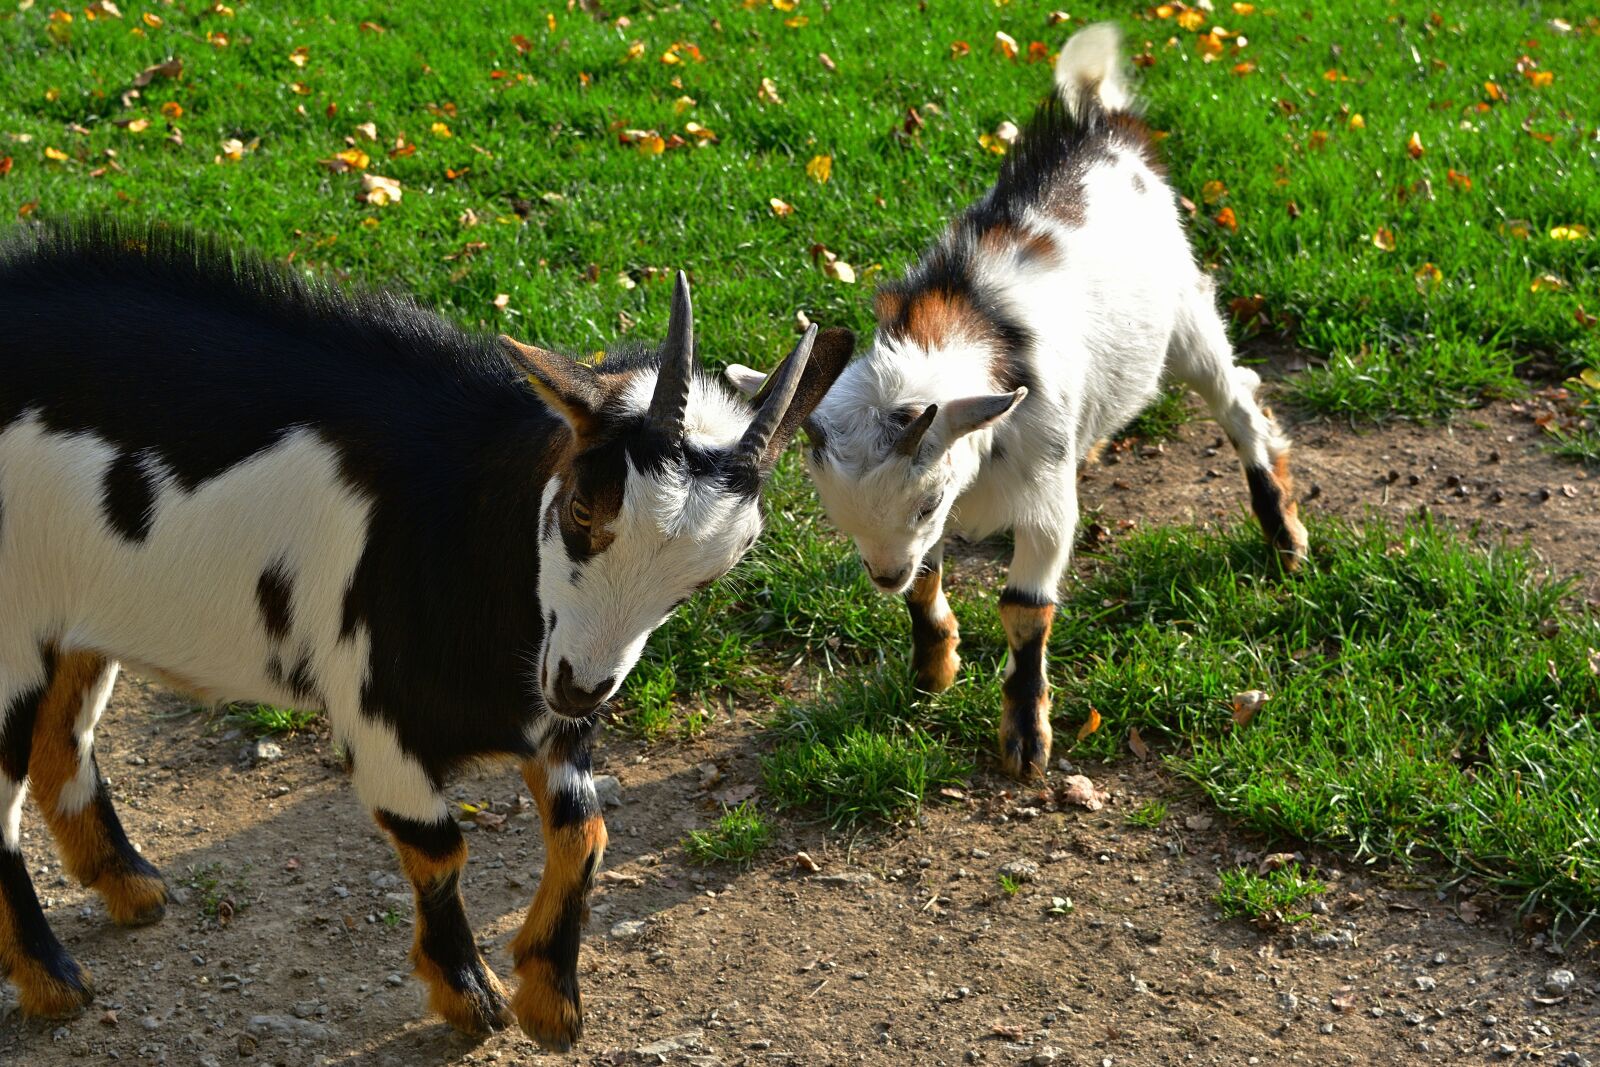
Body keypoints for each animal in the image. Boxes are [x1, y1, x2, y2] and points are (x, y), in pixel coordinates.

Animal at [0, 224, 852, 1048]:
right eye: (584, 506)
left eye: (712, 572)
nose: (582, 684)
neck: (461, 516)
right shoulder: (381, 716)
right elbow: (440, 847)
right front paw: (470, 997)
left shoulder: (547, 717)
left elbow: (586, 831)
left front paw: (550, 1000)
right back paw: (53, 983)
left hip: (72, 622)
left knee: (61, 741)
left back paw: (130, 887)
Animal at [728, 24, 1307, 780]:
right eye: (835, 511)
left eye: (925, 502)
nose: (881, 576)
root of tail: (1098, 124)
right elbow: (927, 581)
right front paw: (933, 668)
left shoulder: (1043, 508)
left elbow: (1025, 606)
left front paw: (1026, 737)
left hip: (1186, 314)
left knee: (1237, 400)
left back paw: (1285, 535)